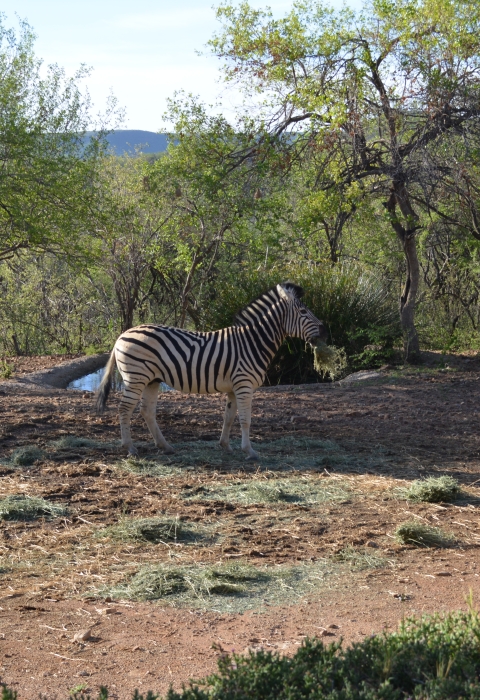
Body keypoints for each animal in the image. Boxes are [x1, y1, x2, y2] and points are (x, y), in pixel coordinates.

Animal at [96, 282, 327, 460]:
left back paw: (165, 446)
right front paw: (250, 451)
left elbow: (229, 417)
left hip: (151, 380)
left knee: (146, 411)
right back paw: (130, 448)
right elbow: (245, 419)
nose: (324, 331)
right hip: (136, 378)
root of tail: (121, 335)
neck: (253, 342)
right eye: (303, 312)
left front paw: (226, 446)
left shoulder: (234, 388)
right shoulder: (244, 385)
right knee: (124, 409)